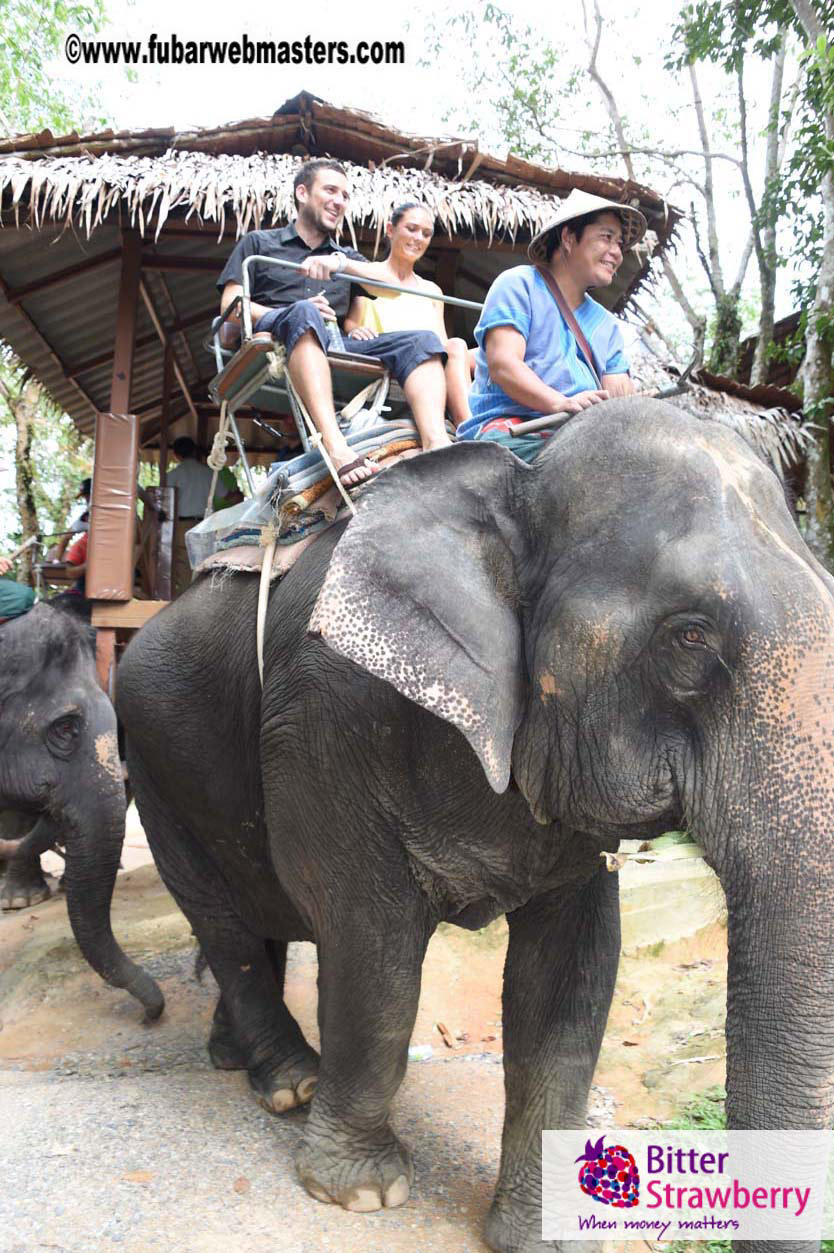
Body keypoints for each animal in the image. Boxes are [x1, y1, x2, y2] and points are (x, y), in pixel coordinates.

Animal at [117, 397, 834, 1253]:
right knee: (221, 916)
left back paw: (241, 1062)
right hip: (149, 760)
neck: (520, 477)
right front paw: (360, 1192)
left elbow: (571, 975)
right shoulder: (325, 718)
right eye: (689, 636)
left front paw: (546, 1237)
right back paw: (291, 1081)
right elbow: (373, 947)